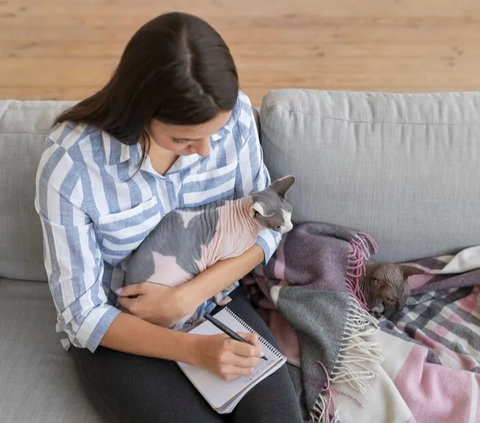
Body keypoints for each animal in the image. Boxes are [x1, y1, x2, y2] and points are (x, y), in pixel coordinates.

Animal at [125, 176, 294, 332]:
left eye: (290, 213)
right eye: (278, 226)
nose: (291, 227)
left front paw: (230, 284)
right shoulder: (217, 261)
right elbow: (217, 287)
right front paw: (221, 299)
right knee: (175, 329)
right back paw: (195, 321)